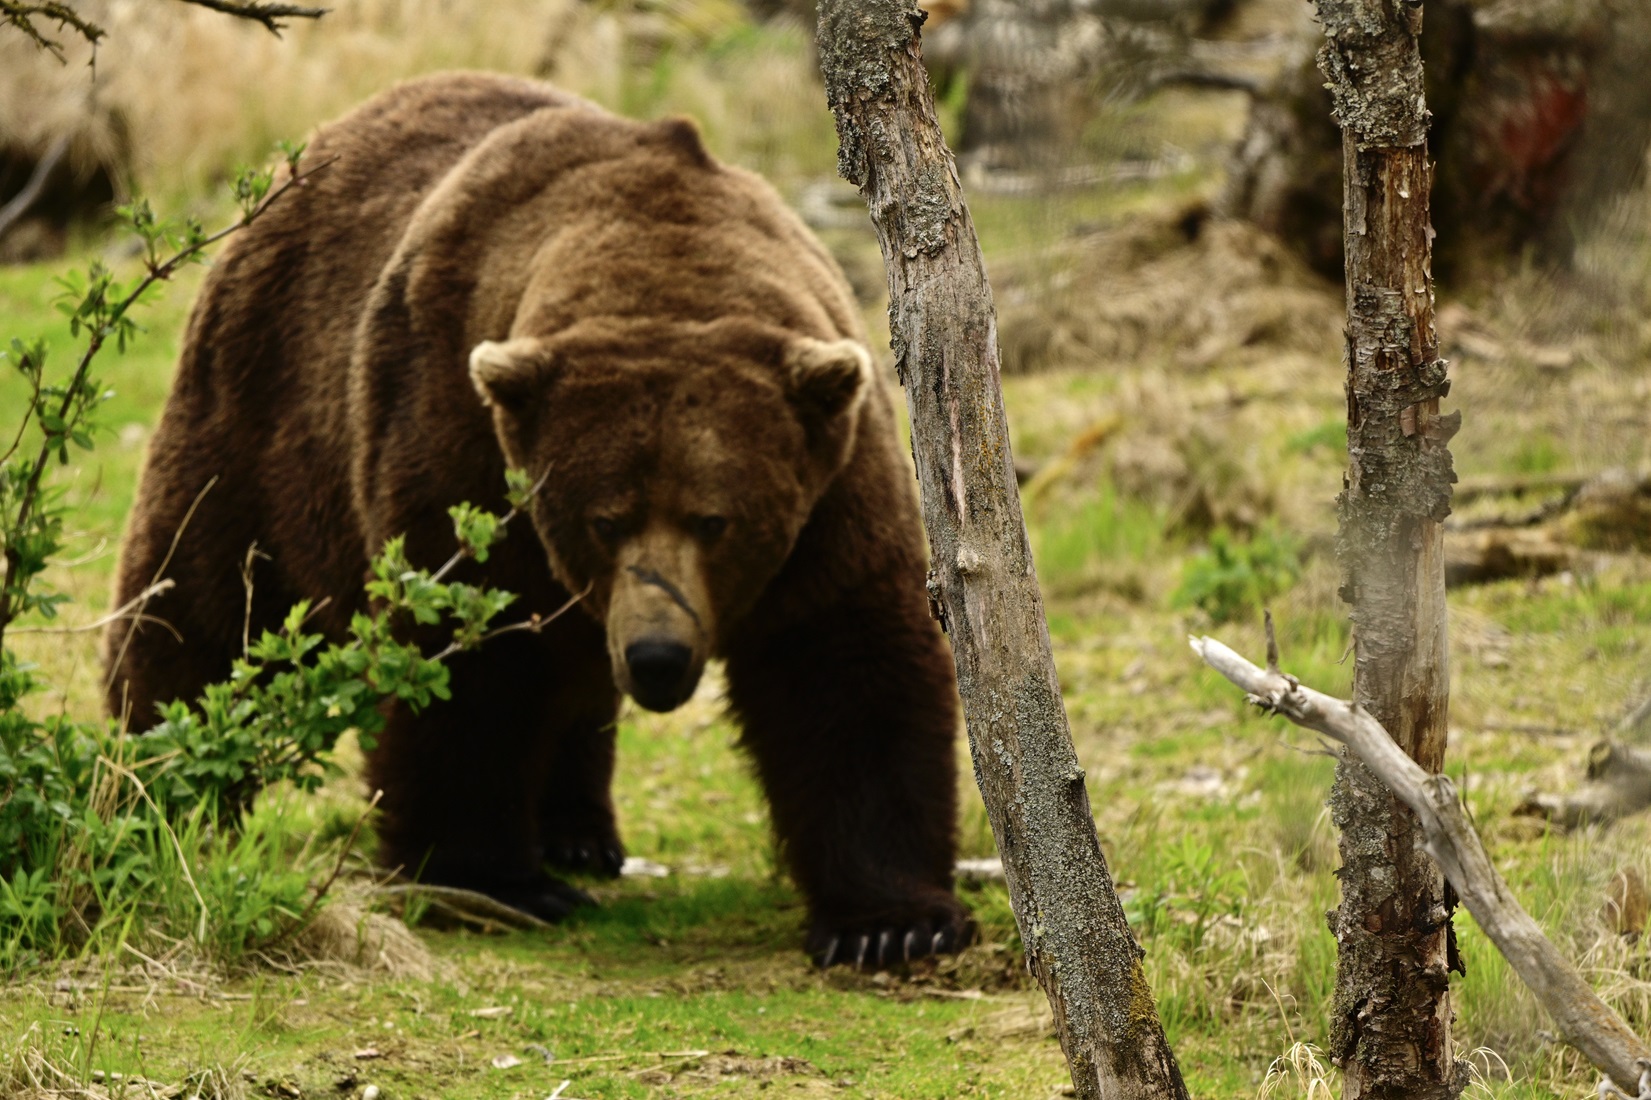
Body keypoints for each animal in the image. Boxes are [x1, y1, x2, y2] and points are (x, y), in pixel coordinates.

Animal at [104, 72, 971, 968]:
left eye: (715, 520)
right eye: (604, 520)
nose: (657, 656)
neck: (661, 269)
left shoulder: (831, 490)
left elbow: (845, 662)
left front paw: (890, 923)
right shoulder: (464, 449)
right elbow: (466, 664)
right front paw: (488, 880)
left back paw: (579, 834)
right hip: (263, 407)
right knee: (203, 601)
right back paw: (161, 787)